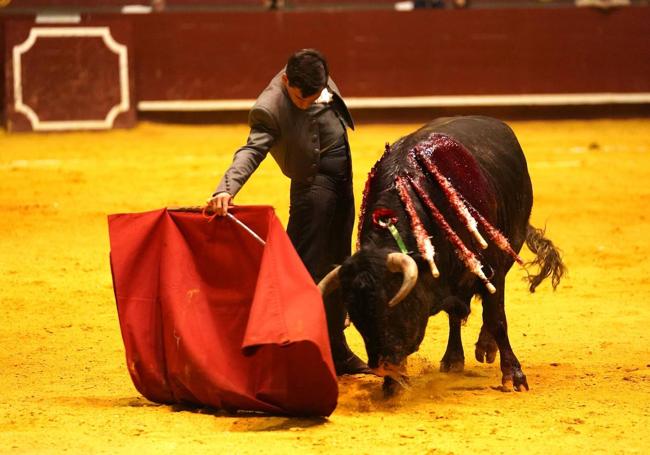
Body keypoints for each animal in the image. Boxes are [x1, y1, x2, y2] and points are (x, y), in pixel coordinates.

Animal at [318, 116, 560, 396]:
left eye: (394, 303)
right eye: (355, 316)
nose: (381, 367)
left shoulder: (492, 267)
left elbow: (497, 318)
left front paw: (514, 375)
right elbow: (455, 314)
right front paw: (394, 384)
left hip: (510, 246)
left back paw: (485, 347)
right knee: (456, 315)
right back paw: (453, 359)